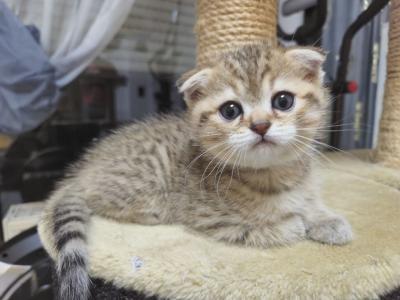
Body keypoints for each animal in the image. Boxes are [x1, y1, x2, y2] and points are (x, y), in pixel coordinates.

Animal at [39, 42, 354, 300]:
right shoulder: (210, 218)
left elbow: (309, 202)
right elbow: (265, 228)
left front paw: (327, 220)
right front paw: (291, 224)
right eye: (230, 110)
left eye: (283, 100)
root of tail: (85, 167)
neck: (275, 174)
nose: (261, 125)